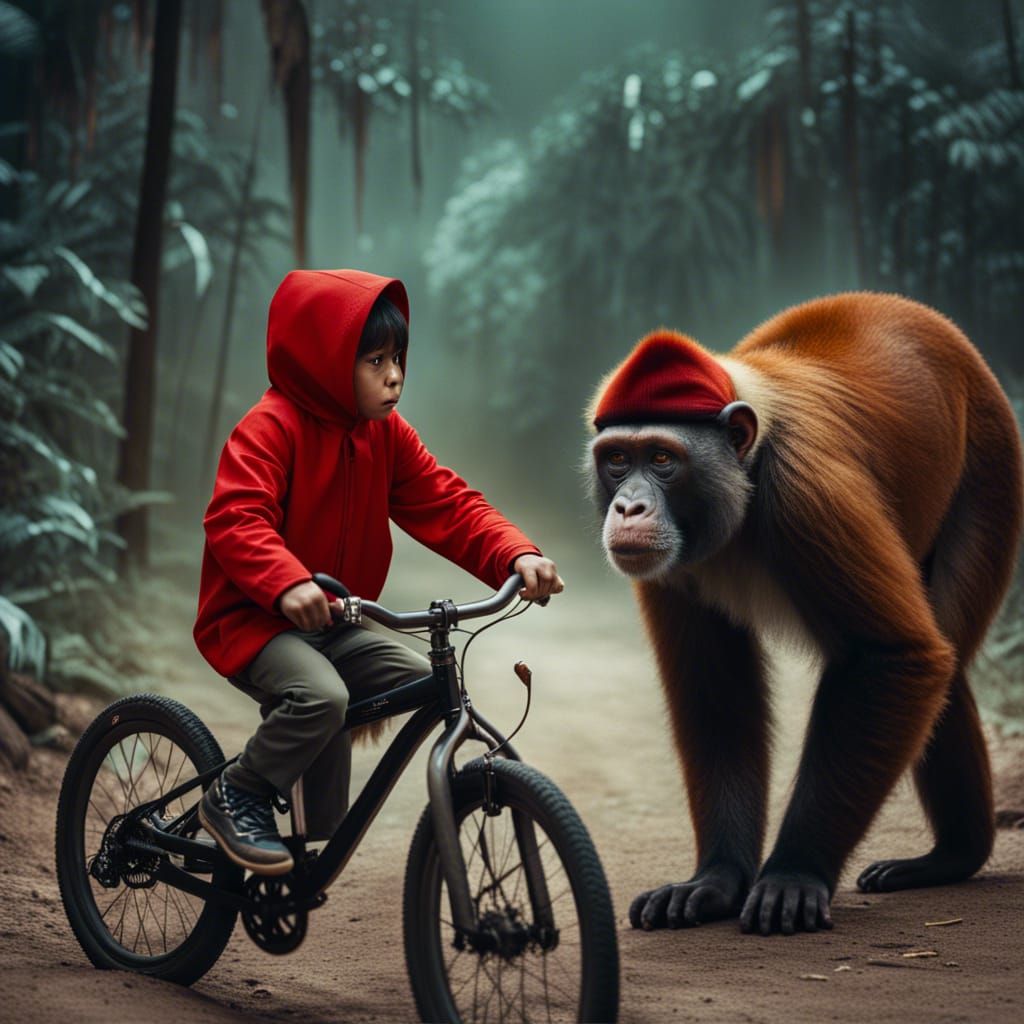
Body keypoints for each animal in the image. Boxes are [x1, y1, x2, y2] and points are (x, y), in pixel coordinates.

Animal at [586, 292, 1023, 936]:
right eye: (617, 459)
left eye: (662, 458)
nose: (628, 507)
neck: (741, 478)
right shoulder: (669, 565)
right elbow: (715, 693)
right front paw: (716, 879)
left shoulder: (808, 493)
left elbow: (893, 656)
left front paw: (795, 871)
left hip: (992, 468)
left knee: (941, 656)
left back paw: (953, 858)